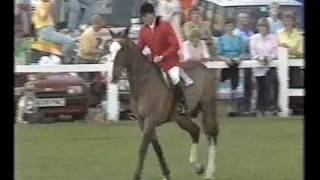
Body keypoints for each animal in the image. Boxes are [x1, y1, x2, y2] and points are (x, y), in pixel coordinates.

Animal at [109, 28, 219, 180]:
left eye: (122, 49)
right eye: (109, 50)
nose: (113, 77)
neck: (144, 83)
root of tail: (203, 67)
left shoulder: (150, 120)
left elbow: (143, 148)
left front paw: (136, 176)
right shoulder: (143, 122)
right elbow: (156, 147)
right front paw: (166, 174)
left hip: (207, 106)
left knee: (211, 135)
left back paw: (209, 172)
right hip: (181, 117)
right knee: (195, 131)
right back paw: (197, 166)